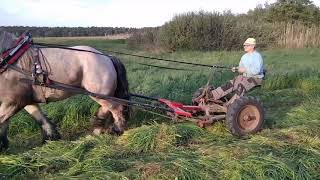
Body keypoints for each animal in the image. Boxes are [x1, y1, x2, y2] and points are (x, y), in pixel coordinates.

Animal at [0, 30, 130, 150]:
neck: (11, 60)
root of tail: (108, 57)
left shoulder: (13, 101)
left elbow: (1, 120)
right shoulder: (24, 100)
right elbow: (39, 118)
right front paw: (51, 137)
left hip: (99, 93)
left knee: (116, 108)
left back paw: (116, 130)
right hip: (102, 94)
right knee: (109, 108)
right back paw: (98, 126)